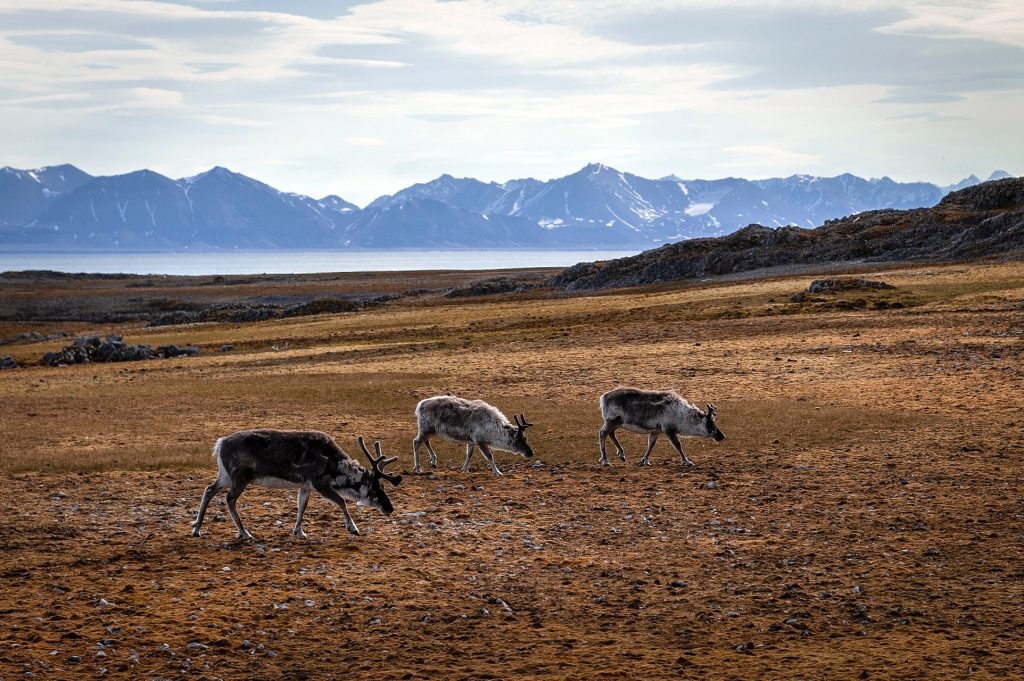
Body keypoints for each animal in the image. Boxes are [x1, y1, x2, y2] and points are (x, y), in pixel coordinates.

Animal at [191, 430, 402, 540]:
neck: (334, 466)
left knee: (209, 490)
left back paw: (196, 528)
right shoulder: (319, 482)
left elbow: (302, 506)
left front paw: (299, 531)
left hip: (225, 475)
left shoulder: (305, 485)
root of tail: (219, 444)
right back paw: (244, 532)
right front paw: (353, 528)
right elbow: (342, 502)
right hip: (240, 477)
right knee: (229, 499)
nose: (390, 508)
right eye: (376, 487)